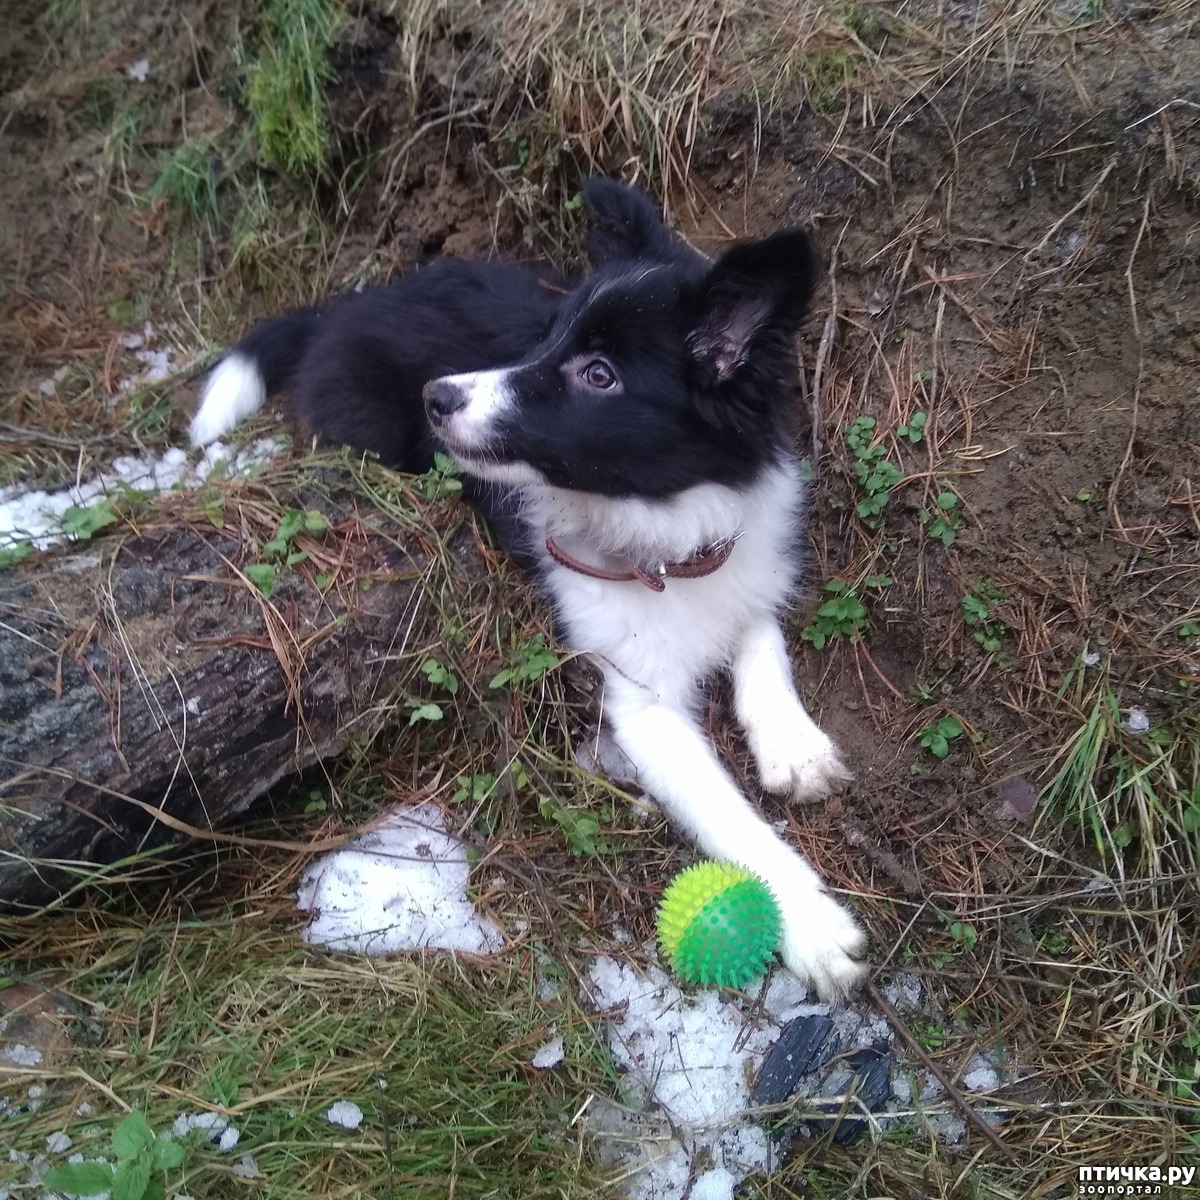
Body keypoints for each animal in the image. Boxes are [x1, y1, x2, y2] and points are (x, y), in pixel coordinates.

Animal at [194, 177, 873, 998]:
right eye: (547, 339)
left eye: (599, 374)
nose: (437, 396)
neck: (661, 534)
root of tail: (345, 307)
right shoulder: (640, 704)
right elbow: (726, 812)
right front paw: (811, 923)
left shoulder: (744, 555)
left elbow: (759, 637)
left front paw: (794, 746)